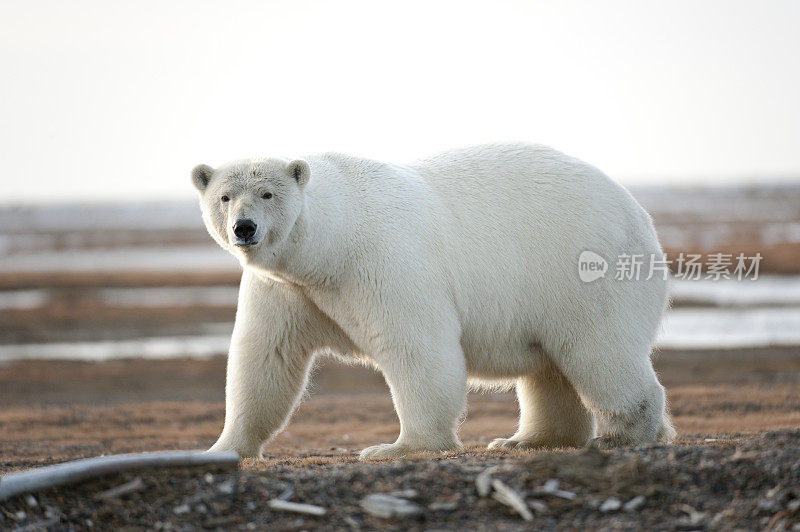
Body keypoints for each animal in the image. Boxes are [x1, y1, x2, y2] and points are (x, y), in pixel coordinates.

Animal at [195, 143, 676, 460]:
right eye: (224, 196)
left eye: (267, 194)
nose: (244, 227)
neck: (332, 244)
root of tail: (640, 215)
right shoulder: (287, 287)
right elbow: (265, 356)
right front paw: (222, 449)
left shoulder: (384, 261)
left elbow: (416, 347)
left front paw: (397, 447)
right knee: (550, 368)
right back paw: (526, 439)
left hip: (579, 271)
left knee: (597, 350)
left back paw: (623, 434)